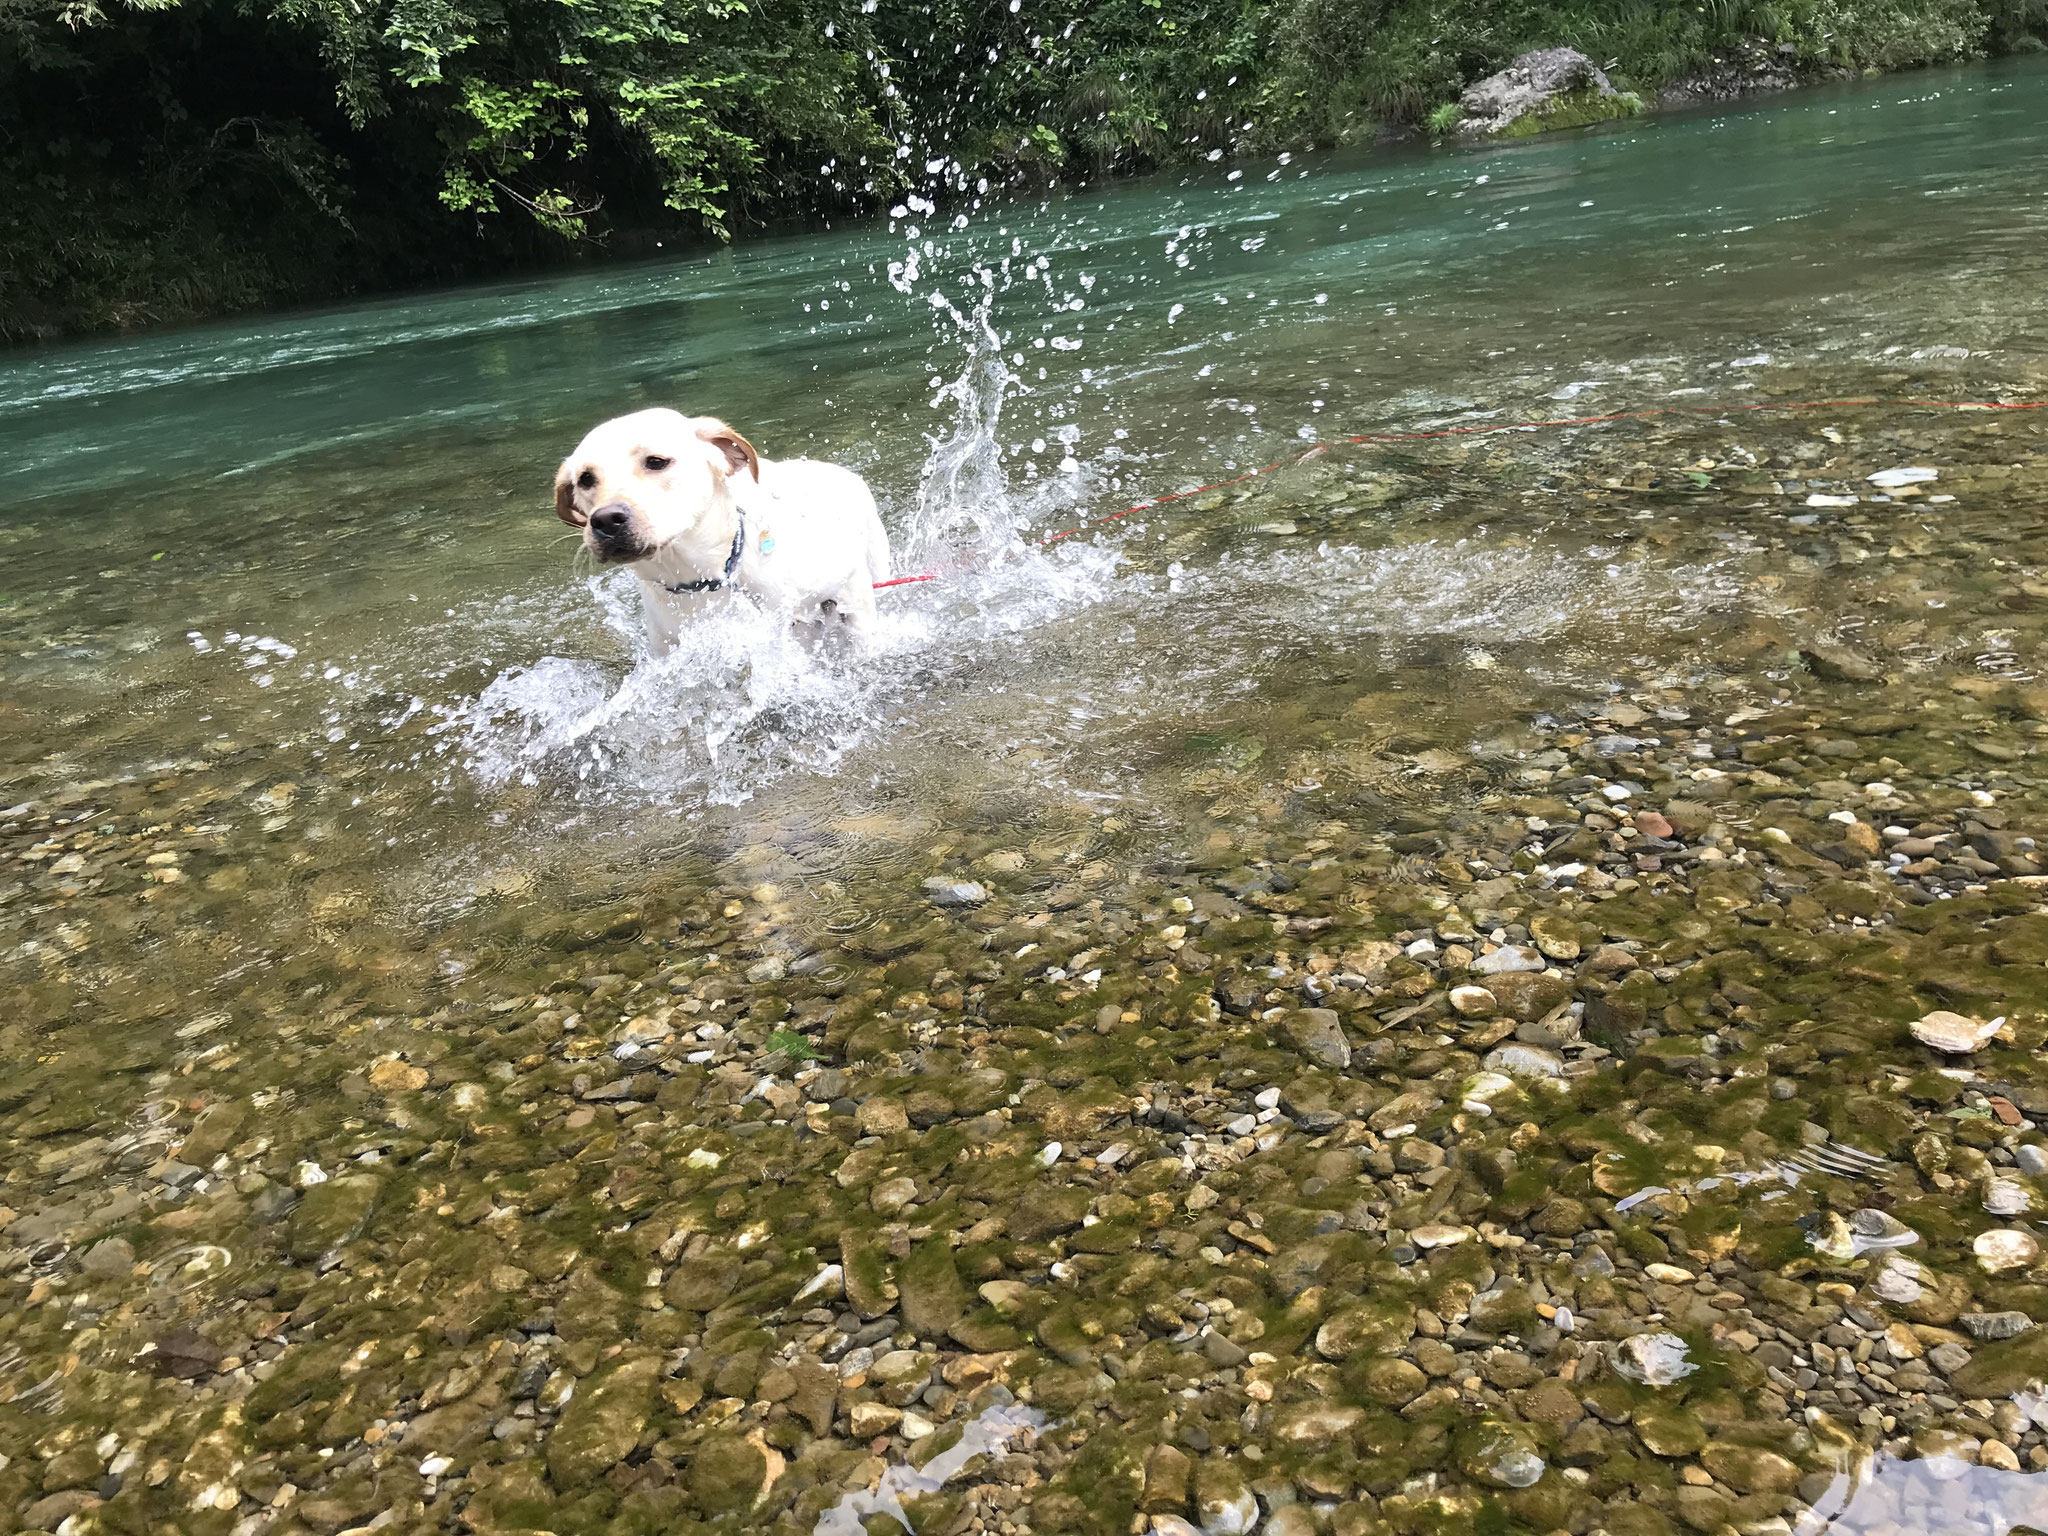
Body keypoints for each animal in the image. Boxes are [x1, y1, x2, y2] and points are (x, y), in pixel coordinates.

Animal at [552, 409, 888, 655]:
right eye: (585, 479)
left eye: (657, 462)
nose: (607, 520)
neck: (704, 578)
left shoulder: (851, 588)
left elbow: (862, 639)